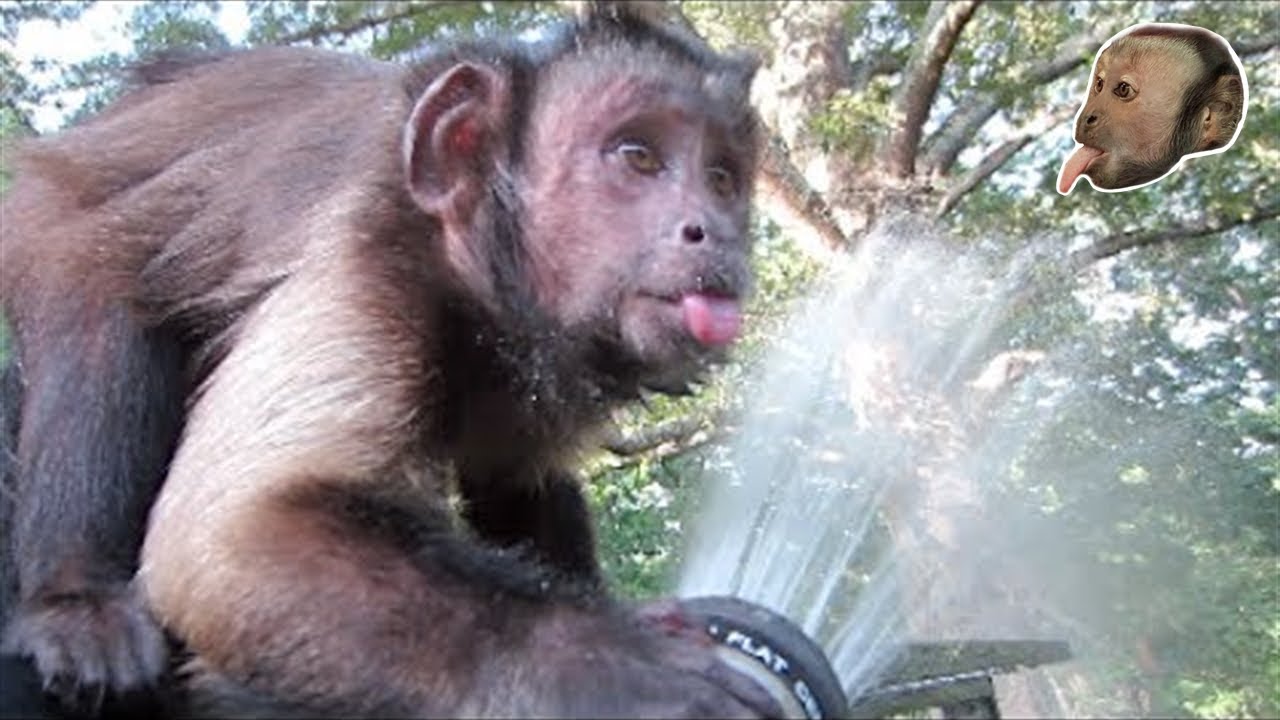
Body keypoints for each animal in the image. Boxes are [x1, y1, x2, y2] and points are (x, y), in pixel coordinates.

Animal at [0, 3, 783, 717]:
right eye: (638, 157)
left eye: (721, 178)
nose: (712, 231)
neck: (469, 289)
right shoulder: (370, 263)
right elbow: (233, 536)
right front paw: (619, 668)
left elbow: (515, 479)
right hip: (41, 209)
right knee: (97, 284)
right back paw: (77, 600)